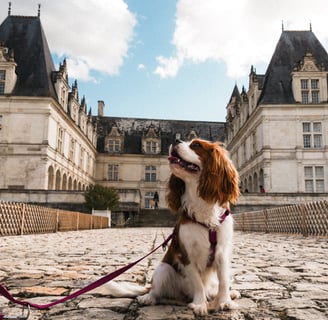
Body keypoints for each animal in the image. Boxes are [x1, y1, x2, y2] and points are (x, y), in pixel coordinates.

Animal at [136, 138, 241, 316]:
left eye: (196, 145)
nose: (175, 140)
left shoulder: (222, 252)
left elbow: (224, 280)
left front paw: (225, 301)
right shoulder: (186, 254)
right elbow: (198, 283)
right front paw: (199, 304)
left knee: (215, 287)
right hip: (163, 269)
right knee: (155, 289)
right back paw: (148, 298)